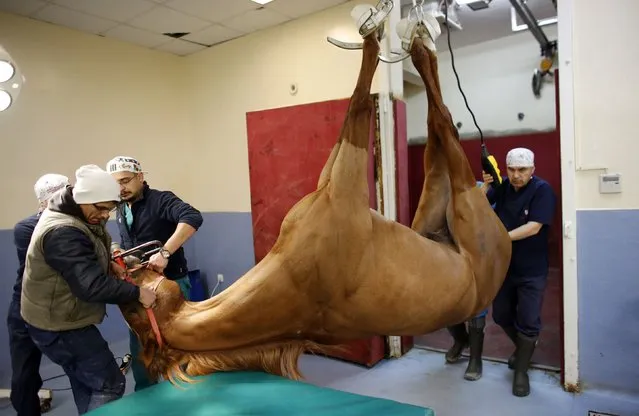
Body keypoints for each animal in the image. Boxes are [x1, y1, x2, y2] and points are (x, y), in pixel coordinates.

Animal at [119, 30, 510, 386]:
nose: (131, 258)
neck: (293, 285)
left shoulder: (332, 176)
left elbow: (351, 112)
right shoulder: (345, 186)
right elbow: (360, 100)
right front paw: (373, 39)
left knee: (437, 134)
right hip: (467, 208)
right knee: (443, 127)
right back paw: (421, 51)